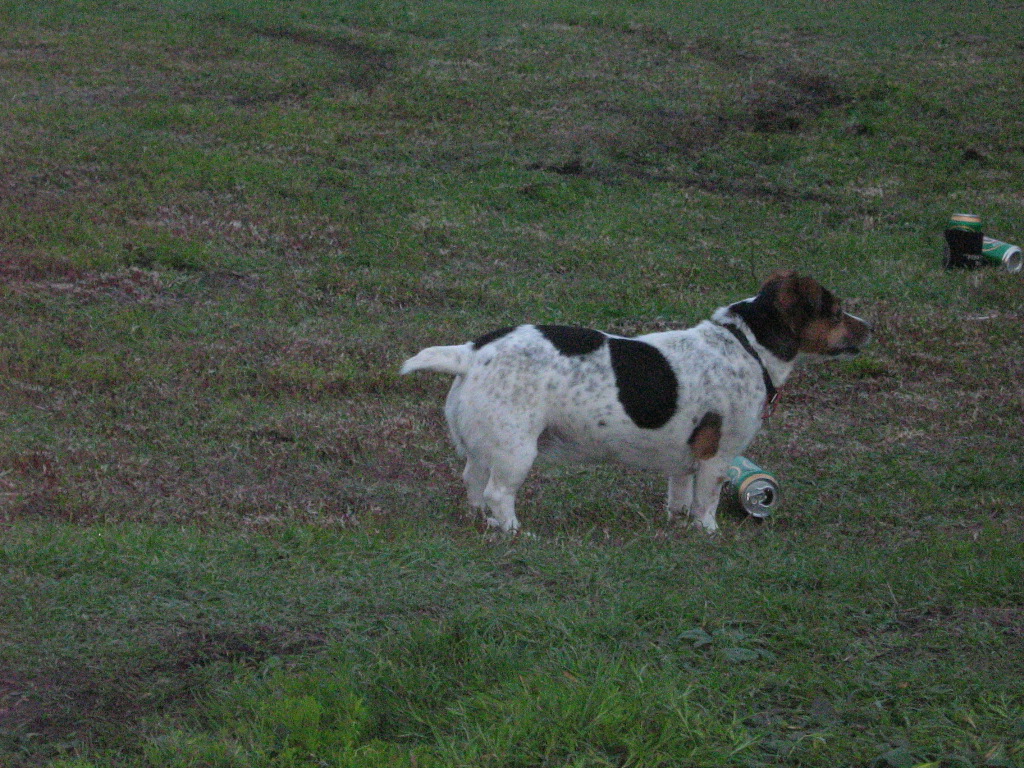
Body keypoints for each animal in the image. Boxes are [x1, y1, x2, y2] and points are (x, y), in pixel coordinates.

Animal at [401, 271, 870, 533]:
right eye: (836, 312)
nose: (871, 328)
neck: (747, 345)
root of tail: (471, 353)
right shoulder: (718, 456)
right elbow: (707, 502)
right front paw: (709, 532)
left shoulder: (685, 461)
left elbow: (679, 499)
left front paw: (677, 526)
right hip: (517, 451)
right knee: (499, 493)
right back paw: (515, 531)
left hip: (486, 447)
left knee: (474, 484)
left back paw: (485, 523)